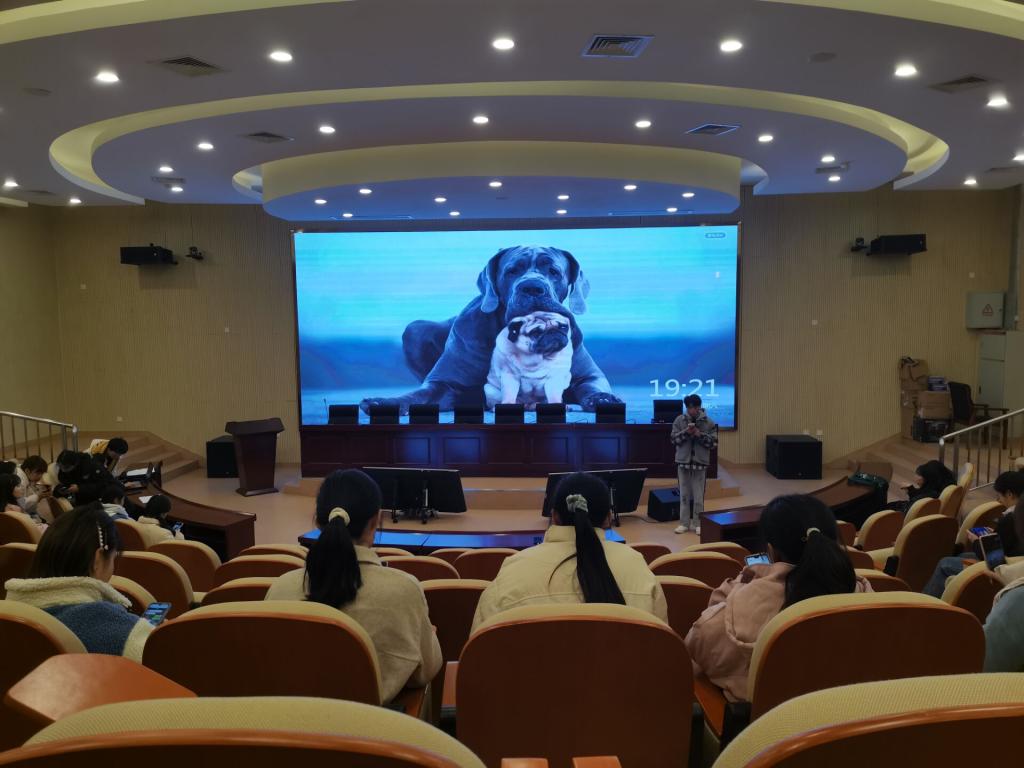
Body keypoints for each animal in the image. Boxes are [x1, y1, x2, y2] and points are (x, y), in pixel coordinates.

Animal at [360, 245, 621, 413]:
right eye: (512, 270)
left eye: (554, 271)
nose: (532, 287)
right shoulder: (443, 384)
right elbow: (417, 395)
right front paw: (382, 402)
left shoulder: (587, 375)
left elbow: (591, 384)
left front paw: (603, 398)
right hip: (414, 330)